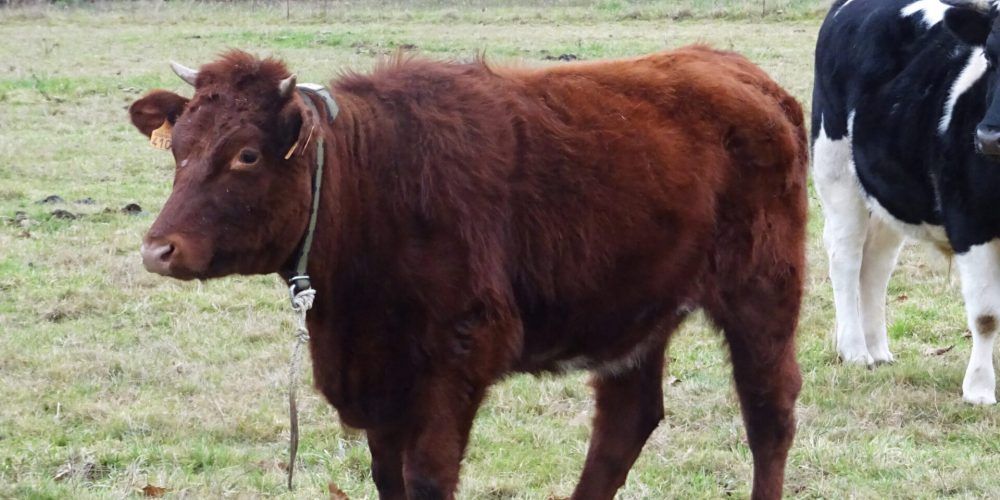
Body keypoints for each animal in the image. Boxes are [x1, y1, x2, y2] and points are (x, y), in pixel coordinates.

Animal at [128, 48, 807, 499]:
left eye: (245, 155)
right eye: (180, 147)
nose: (158, 249)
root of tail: (734, 68)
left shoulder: (453, 360)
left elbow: (428, 479)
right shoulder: (383, 382)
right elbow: (389, 479)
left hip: (763, 291)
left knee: (769, 413)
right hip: (635, 308)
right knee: (625, 422)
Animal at [813, 0, 1000, 404]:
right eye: (990, 57)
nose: (988, 137)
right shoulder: (970, 224)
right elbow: (986, 316)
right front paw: (979, 389)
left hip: (888, 196)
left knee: (876, 266)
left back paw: (878, 349)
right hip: (835, 170)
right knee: (846, 258)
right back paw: (855, 350)